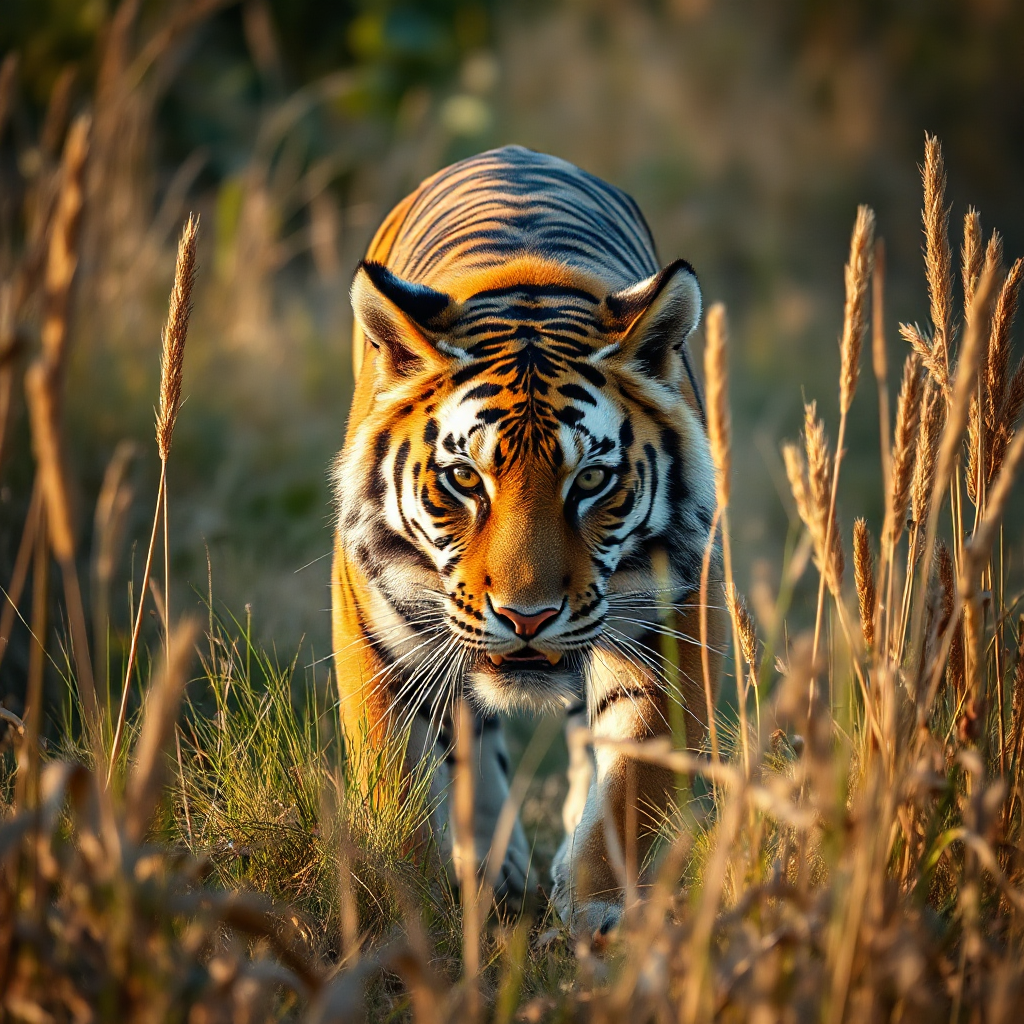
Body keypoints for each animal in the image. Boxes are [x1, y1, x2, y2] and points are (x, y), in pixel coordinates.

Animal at [331, 144, 724, 940]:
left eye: (592, 480)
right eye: (464, 478)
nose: (528, 618)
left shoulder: (673, 619)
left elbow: (631, 781)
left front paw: (597, 908)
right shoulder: (373, 632)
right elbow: (393, 784)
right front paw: (407, 911)